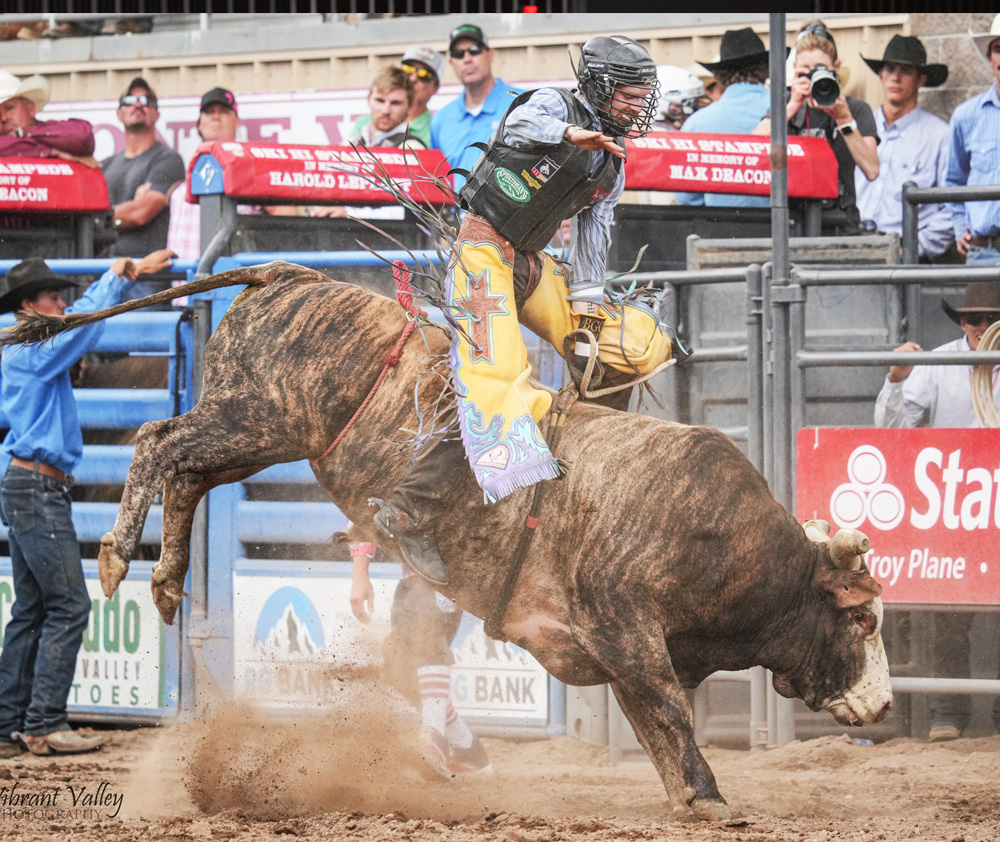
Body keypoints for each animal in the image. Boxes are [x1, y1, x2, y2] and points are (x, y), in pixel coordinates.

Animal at [2, 261, 892, 821]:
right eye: (863, 620)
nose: (884, 705)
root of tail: (289, 275)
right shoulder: (624, 626)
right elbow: (670, 710)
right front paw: (710, 797)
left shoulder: (615, 651)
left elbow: (652, 720)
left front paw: (688, 798)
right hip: (258, 417)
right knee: (159, 441)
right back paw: (117, 556)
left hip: (260, 433)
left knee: (187, 471)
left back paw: (167, 581)